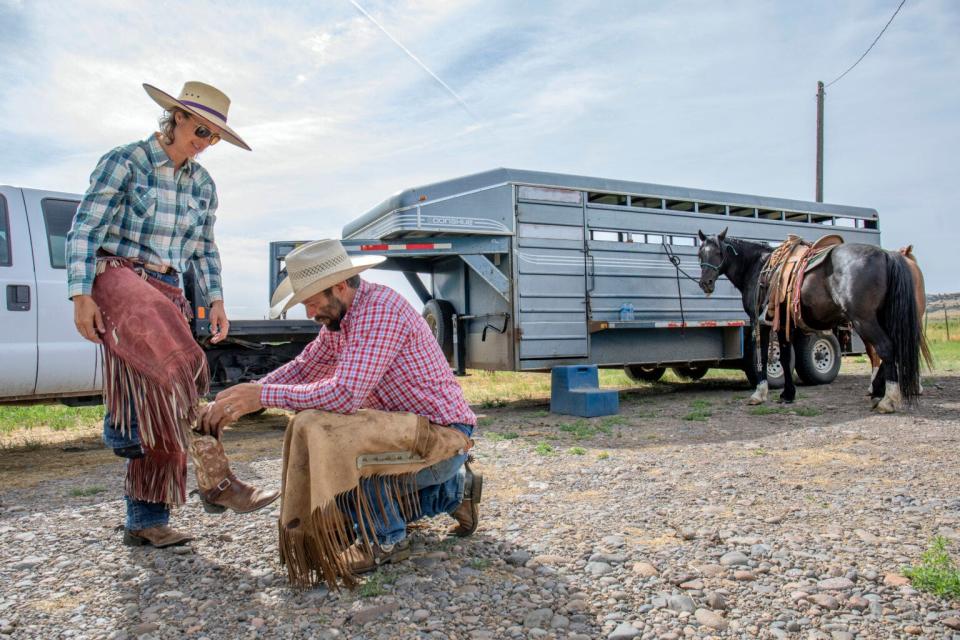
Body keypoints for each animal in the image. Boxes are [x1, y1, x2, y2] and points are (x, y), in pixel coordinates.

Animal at [696, 228, 924, 412]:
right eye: (700, 254)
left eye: (719, 252)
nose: (706, 283)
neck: (758, 268)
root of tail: (887, 255)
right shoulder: (785, 324)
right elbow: (785, 356)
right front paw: (788, 394)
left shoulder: (759, 322)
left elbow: (764, 356)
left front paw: (759, 394)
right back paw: (878, 392)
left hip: (864, 320)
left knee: (886, 349)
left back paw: (888, 400)